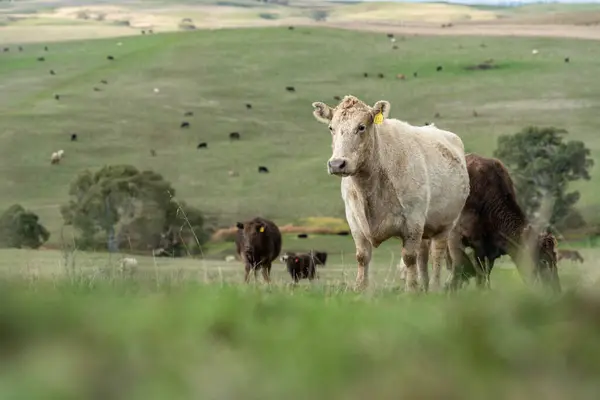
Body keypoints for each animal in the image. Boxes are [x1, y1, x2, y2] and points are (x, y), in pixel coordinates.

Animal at [312, 95, 472, 292]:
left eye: (361, 127)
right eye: (331, 128)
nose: (336, 164)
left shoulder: (413, 220)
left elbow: (409, 257)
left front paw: (411, 291)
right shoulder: (354, 220)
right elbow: (362, 257)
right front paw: (360, 290)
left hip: (444, 225)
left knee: (436, 255)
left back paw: (434, 288)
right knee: (423, 255)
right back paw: (424, 287)